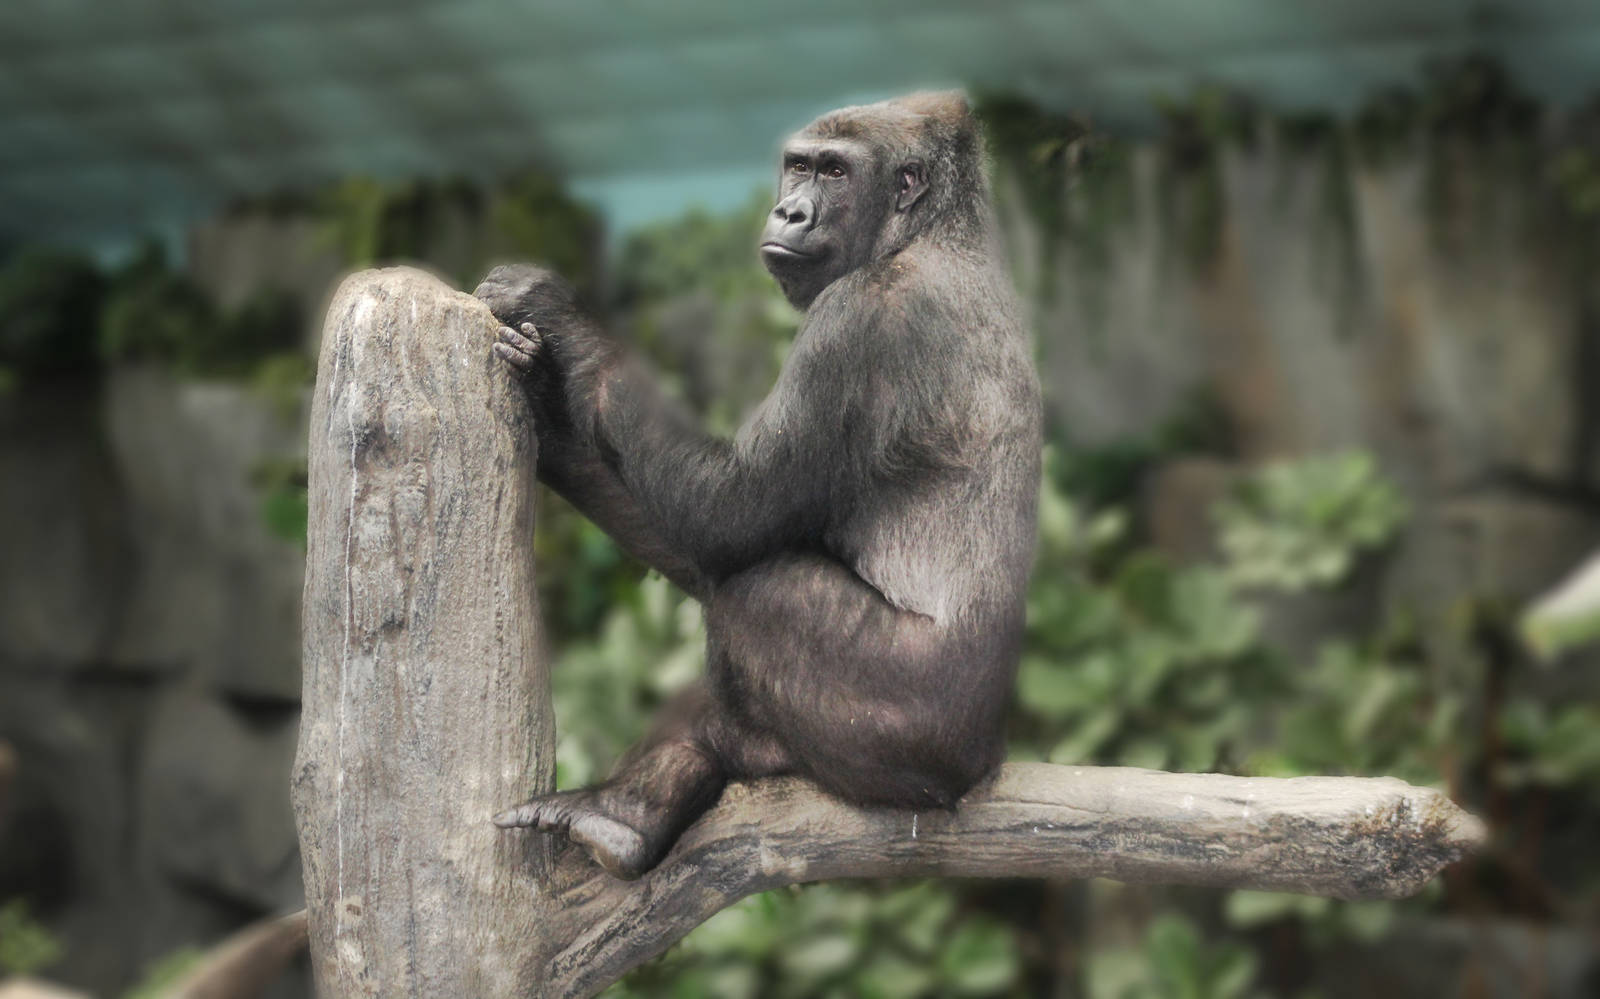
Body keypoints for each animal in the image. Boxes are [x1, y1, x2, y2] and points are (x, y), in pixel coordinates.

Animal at [476, 92, 1041, 879]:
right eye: (798, 166)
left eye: (834, 172)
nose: (791, 212)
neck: (928, 234)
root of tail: (984, 763)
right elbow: (700, 547)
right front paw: (542, 398)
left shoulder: (854, 324)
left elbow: (728, 513)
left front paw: (558, 318)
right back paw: (632, 813)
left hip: (923, 738)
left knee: (758, 590)